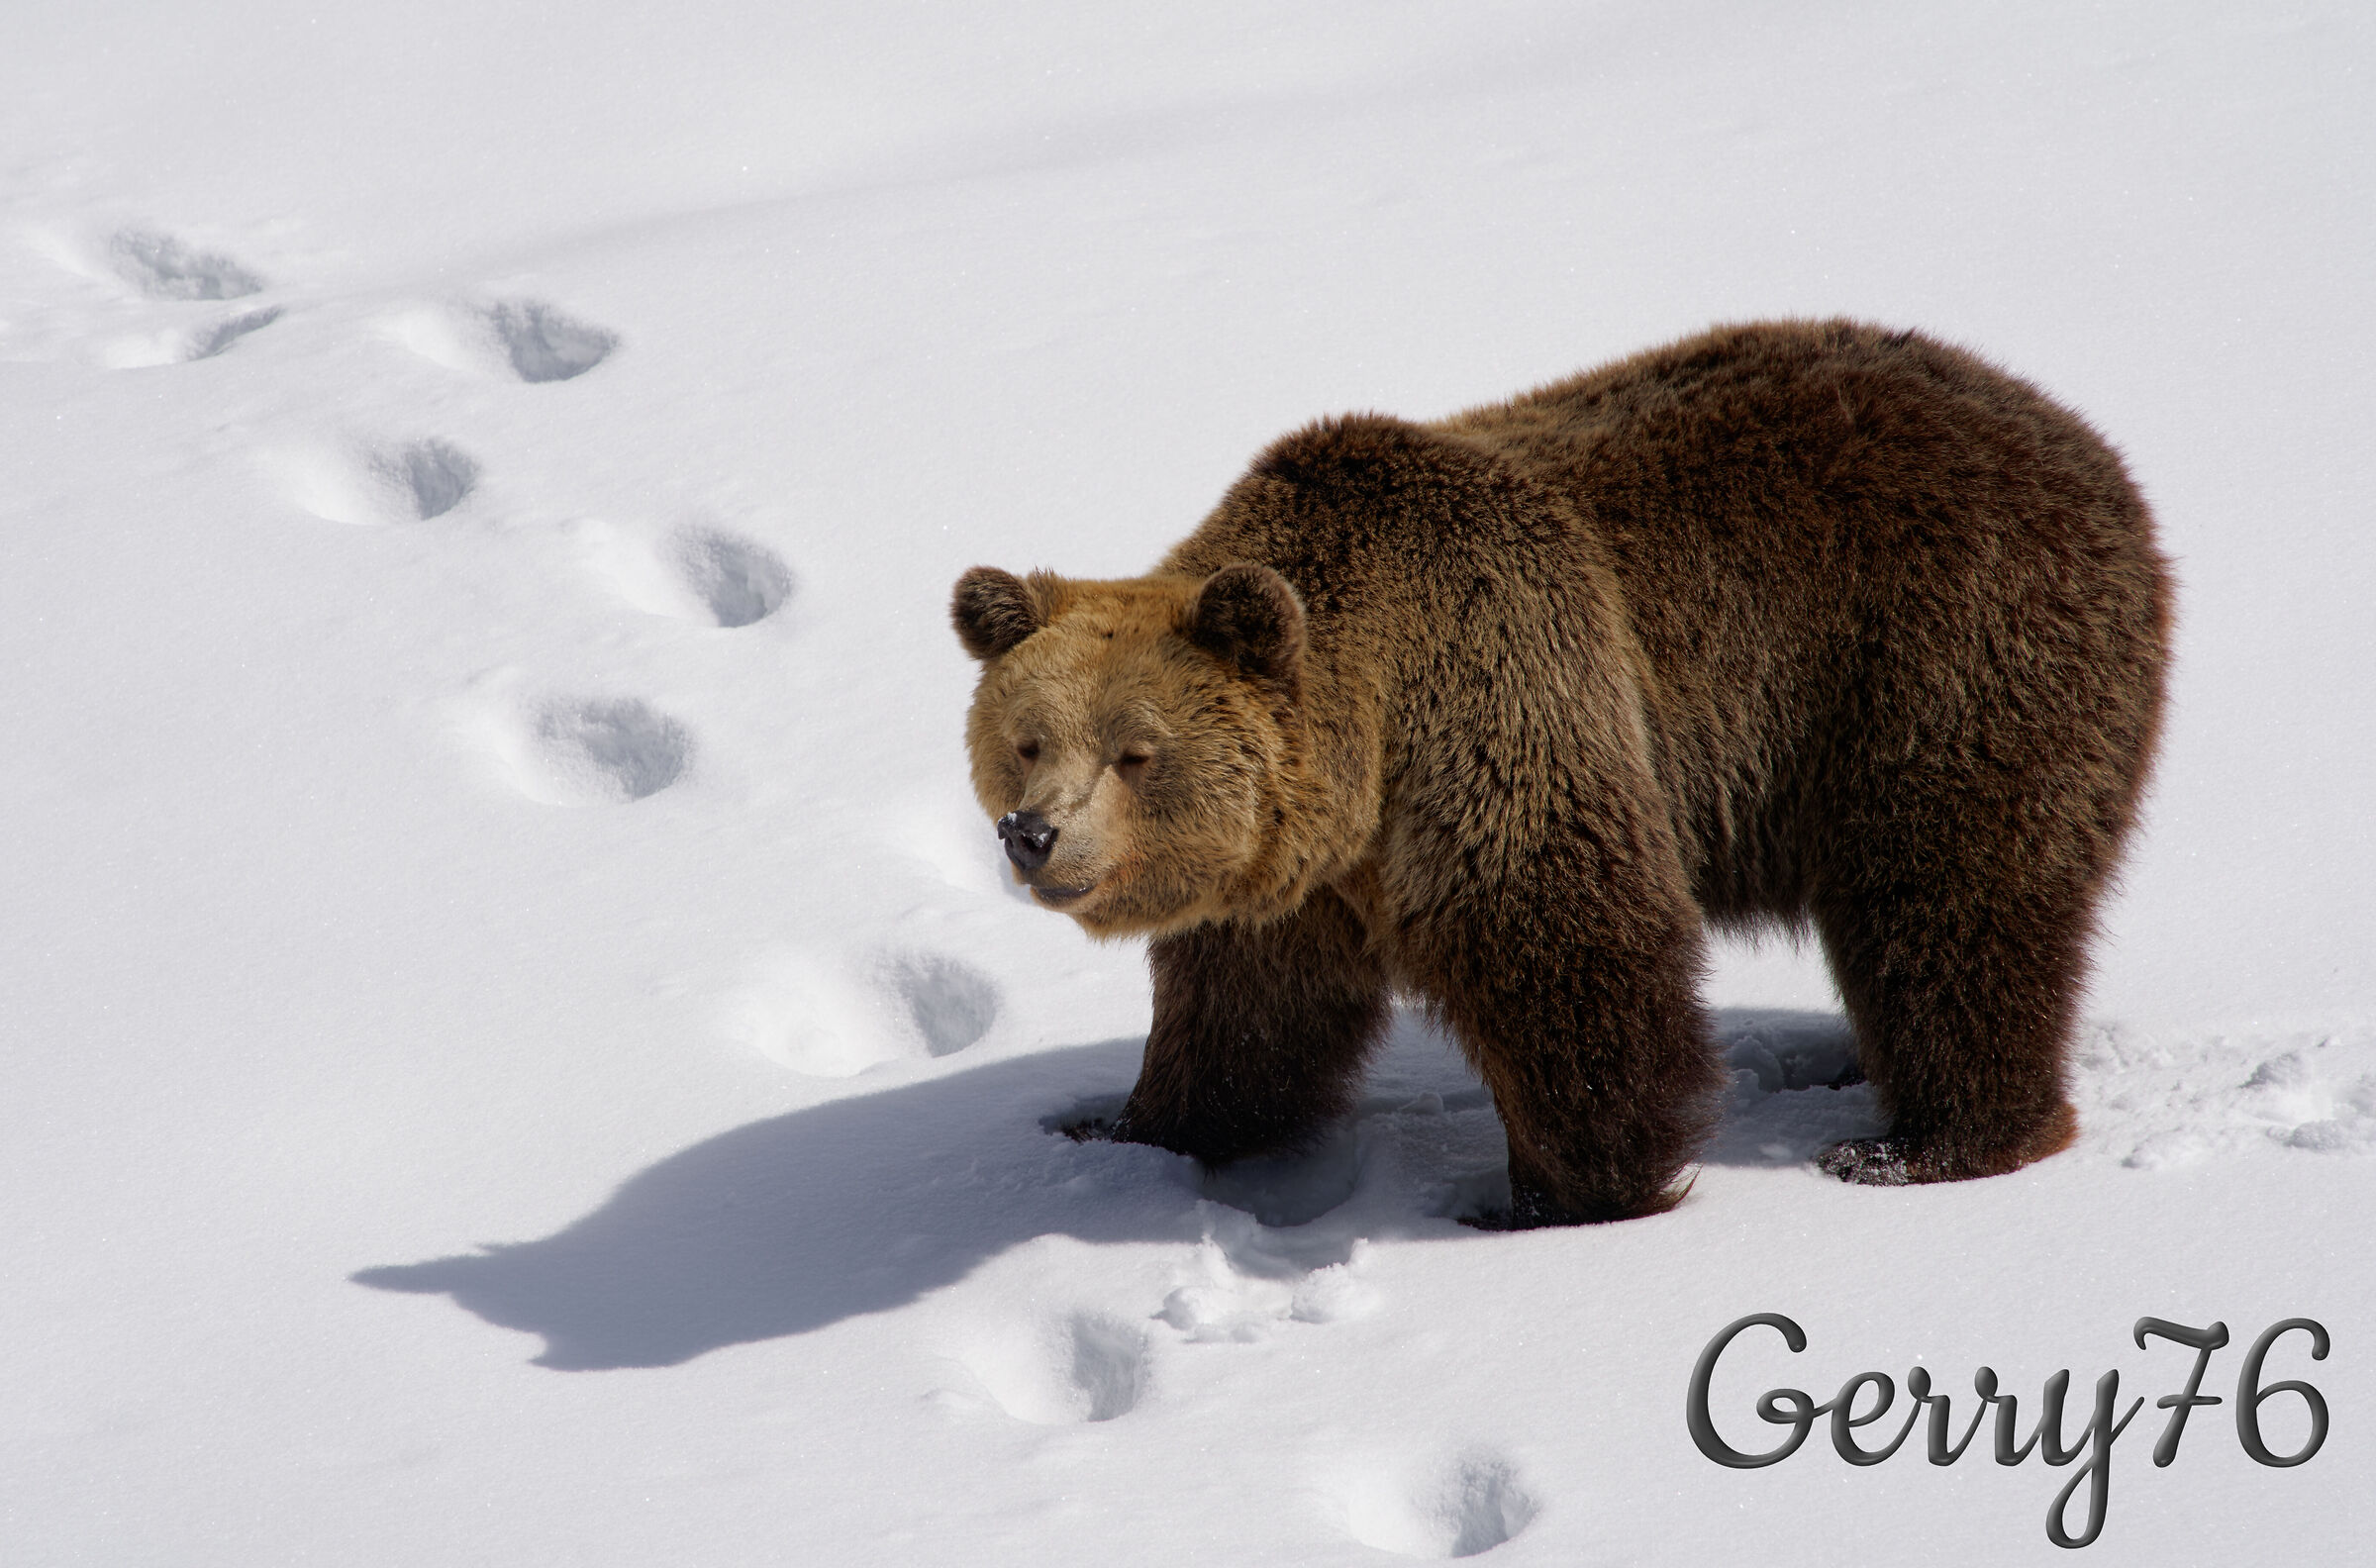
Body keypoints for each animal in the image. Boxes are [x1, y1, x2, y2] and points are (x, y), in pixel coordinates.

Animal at [951, 319, 2172, 1226]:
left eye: (1136, 752)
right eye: (1027, 740)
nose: (1034, 835)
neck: (1369, 756)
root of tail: (2085, 445)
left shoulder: (1500, 696)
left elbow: (1563, 948)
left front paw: (1551, 1196)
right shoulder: (1296, 879)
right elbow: (1245, 1017)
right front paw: (1124, 1129)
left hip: (1939, 660)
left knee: (1948, 897)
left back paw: (1924, 1140)